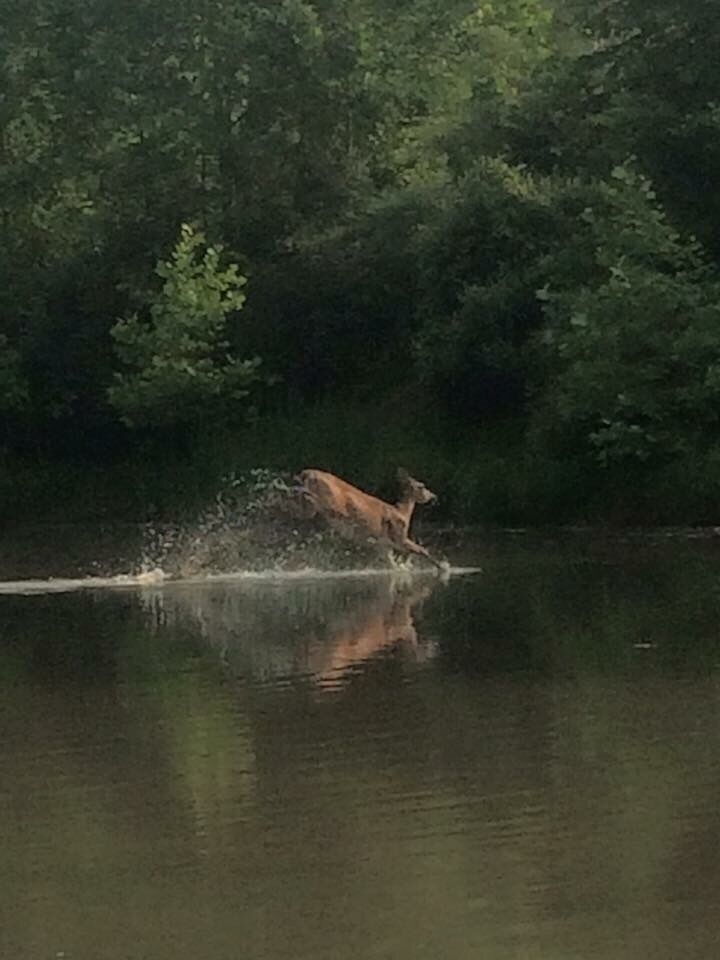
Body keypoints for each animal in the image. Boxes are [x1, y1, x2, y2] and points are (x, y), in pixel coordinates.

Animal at [295, 467, 445, 570]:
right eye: (422, 486)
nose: (434, 496)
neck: (402, 512)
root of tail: (307, 473)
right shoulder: (398, 537)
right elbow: (422, 550)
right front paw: (443, 567)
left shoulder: (382, 545)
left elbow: (391, 564)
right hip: (331, 503)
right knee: (309, 498)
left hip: (318, 509)